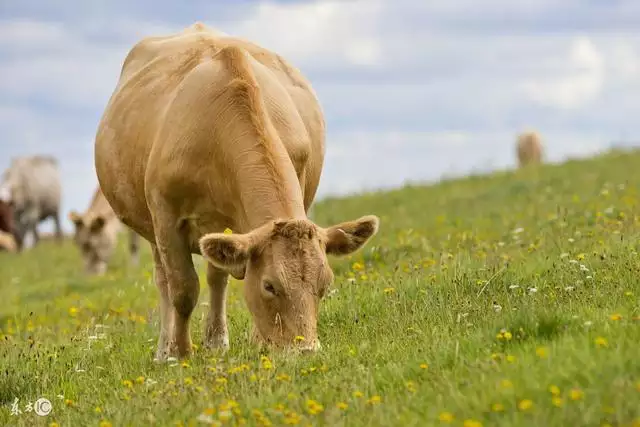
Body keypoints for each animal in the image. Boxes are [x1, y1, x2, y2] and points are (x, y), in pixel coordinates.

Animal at [95, 21, 380, 360]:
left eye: (324, 284)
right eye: (270, 286)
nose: (305, 350)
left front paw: (253, 339)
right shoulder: (165, 216)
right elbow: (183, 289)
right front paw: (181, 353)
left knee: (216, 277)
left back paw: (216, 340)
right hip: (150, 227)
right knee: (163, 280)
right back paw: (165, 351)